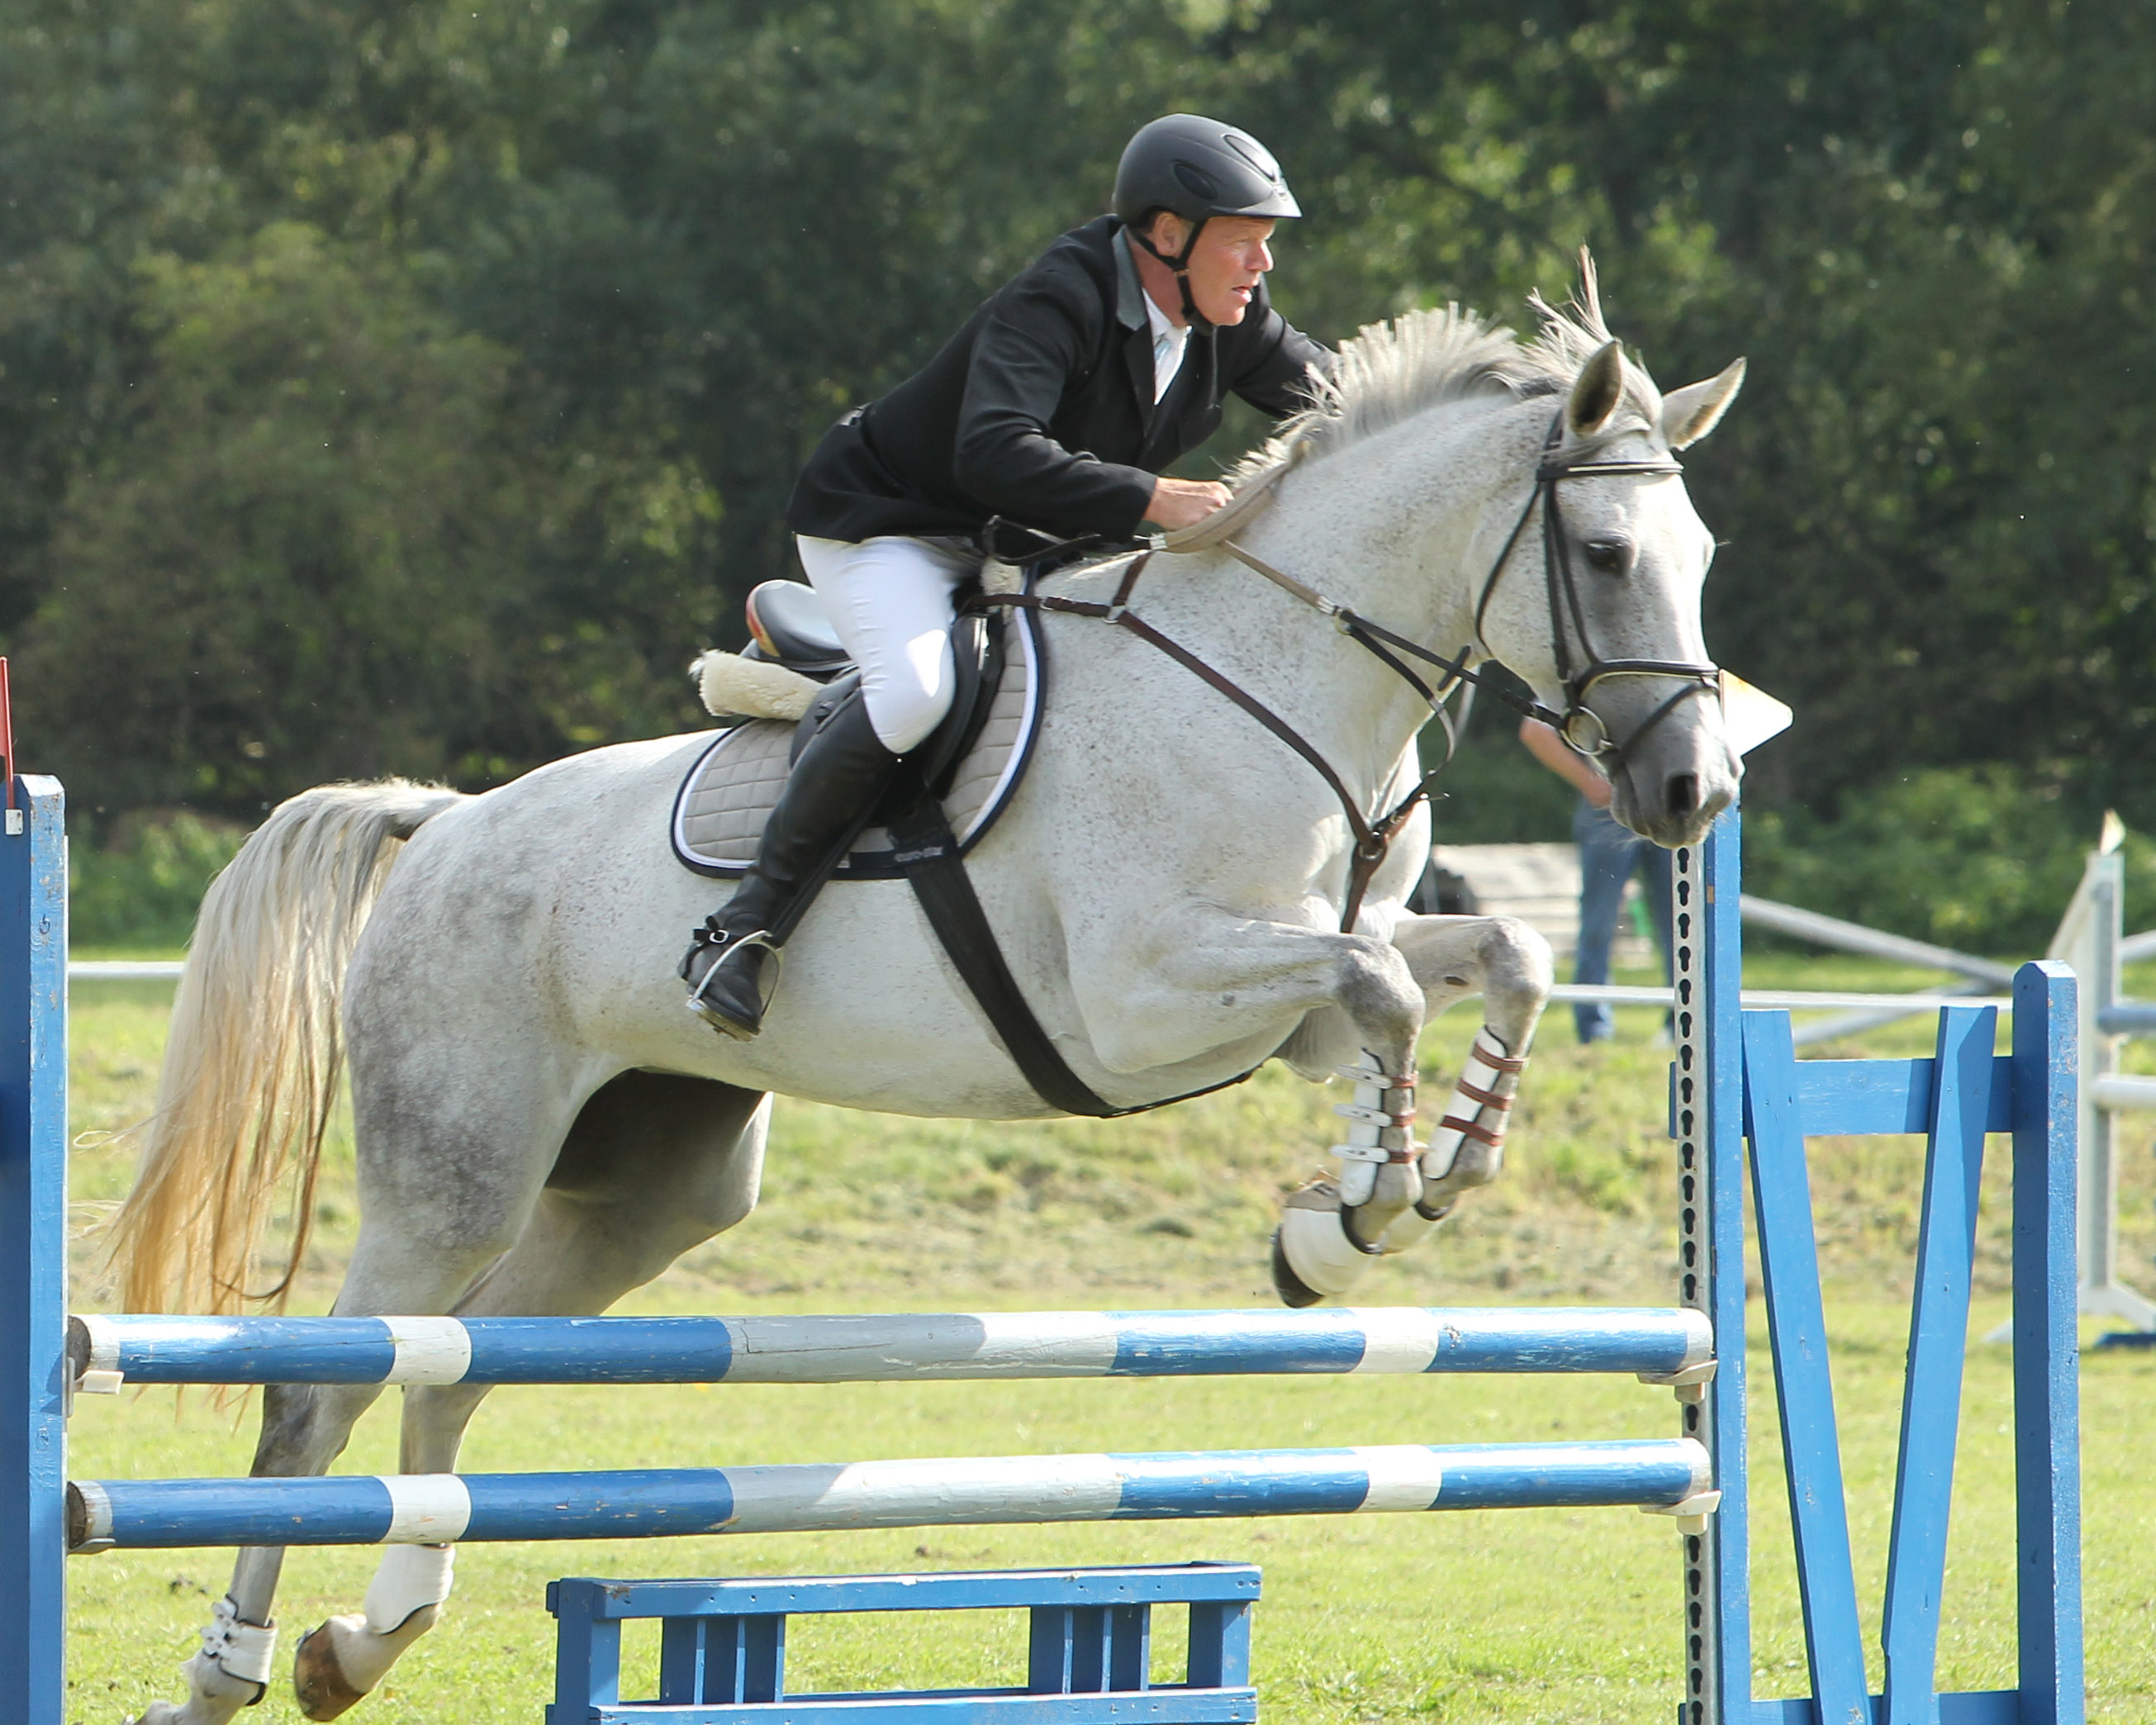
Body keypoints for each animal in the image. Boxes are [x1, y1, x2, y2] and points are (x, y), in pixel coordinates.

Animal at [109, 276, 1741, 1716]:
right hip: (454, 1171)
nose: (1693, 790)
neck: (1278, 672)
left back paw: (363, 1642)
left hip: (652, 1184)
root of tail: (442, 822)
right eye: (1605, 553)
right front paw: (1359, 1214)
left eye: (1701, 552)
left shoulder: (1290, 997)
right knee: (326, 1394)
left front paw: (1373, 1201)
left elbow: (1480, 964)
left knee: (459, 1372)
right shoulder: (1149, 1000)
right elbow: (1384, 983)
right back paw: (228, 1671)